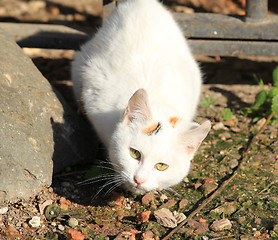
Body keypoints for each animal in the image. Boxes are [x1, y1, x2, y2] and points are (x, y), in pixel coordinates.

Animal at [71, 0, 211, 193]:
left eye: (161, 166)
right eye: (134, 153)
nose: (139, 179)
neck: (157, 100)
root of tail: (143, 3)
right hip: (81, 63)